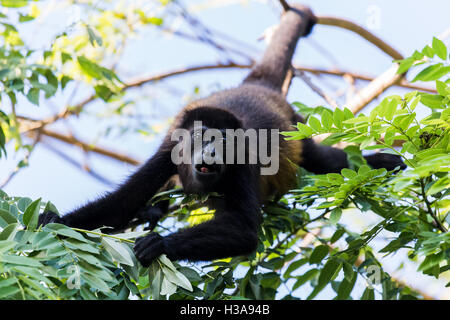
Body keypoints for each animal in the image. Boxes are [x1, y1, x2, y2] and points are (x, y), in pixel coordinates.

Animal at [37, 3, 404, 266]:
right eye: (203, 137)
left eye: (225, 142)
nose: (212, 153)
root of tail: (257, 86)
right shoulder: (168, 149)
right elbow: (121, 202)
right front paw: (54, 221)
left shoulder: (245, 161)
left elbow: (243, 230)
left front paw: (161, 245)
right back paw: (154, 210)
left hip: (297, 123)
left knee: (323, 159)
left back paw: (381, 162)